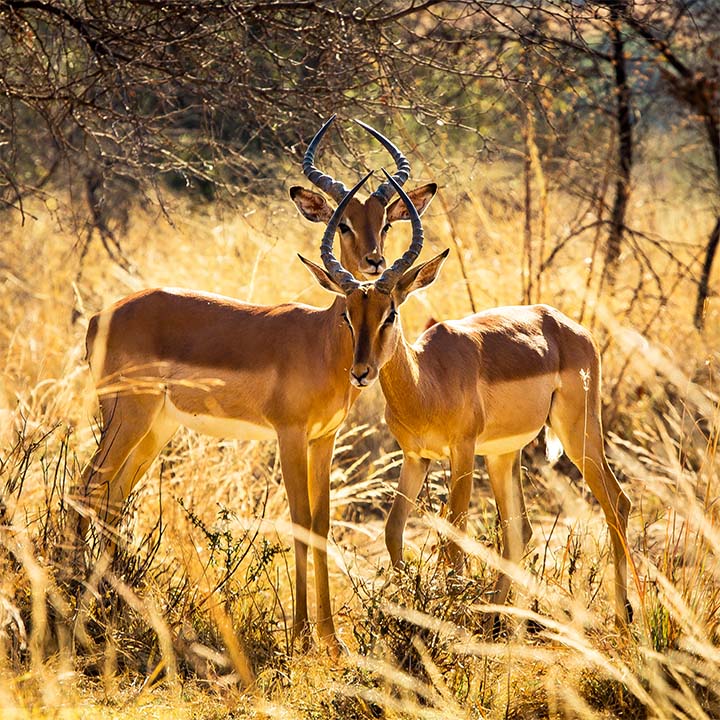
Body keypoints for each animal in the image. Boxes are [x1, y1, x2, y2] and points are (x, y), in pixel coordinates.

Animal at [70, 119, 434, 652]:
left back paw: (111, 607)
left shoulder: (324, 438)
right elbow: (299, 519)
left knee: (113, 496)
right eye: (348, 314)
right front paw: (301, 636)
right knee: (87, 487)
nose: (363, 372)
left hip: (155, 428)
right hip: (127, 418)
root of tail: (101, 315)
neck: (321, 343)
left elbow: (322, 523)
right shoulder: (289, 434)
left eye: (389, 313)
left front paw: (333, 640)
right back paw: (74, 602)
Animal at [306, 172, 632, 628]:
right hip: (503, 454)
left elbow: (453, 536)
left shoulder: (461, 453)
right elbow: (393, 531)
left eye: (391, 313)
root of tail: (568, 325)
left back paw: (623, 616)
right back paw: (500, 616)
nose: (360, 372)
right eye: (348, 315)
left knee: (617, 503)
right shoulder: (416, 457)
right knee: (519, 529)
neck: (425, 384)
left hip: (577, 433)